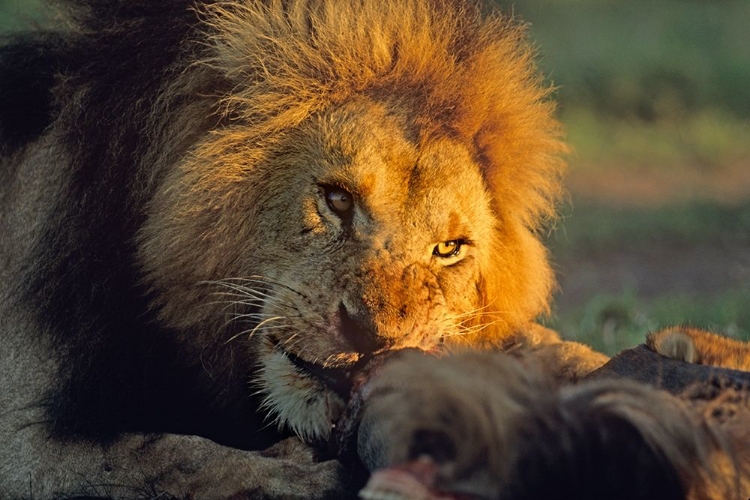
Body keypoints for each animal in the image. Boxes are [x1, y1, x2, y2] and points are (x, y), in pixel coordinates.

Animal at [0, 0, 616, 496]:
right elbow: (166, 454)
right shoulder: (21, 443)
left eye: (448, 249)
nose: (375, 340)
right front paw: (299, 475)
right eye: (338, 200)